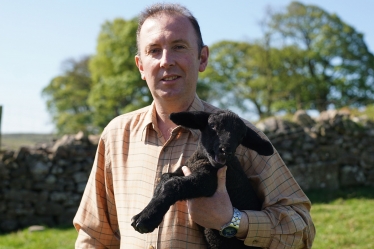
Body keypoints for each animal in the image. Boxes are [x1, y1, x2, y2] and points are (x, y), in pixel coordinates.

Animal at [131, 111, 274, 249]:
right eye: (213, 126)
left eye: (241, 136)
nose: (226, 151)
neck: (202, 159)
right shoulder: (183, 169)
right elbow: (164, 180)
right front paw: (144, 213)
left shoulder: (207, 181)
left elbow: (172, 184)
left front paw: (147, 219)